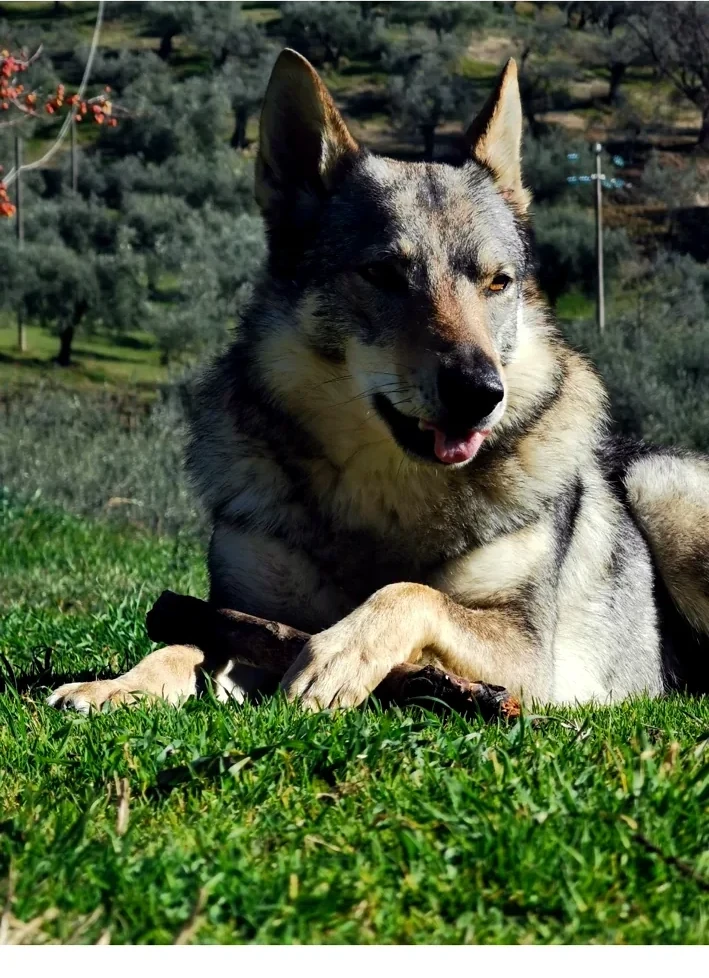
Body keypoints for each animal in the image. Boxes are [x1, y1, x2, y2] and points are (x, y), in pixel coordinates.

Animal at [48, 49, 709, 714]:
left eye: (497, 282)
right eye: (384, 274)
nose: (481, 393)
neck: (387, 497)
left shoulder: (528, 654)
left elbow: (409, 593)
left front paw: (337, 654)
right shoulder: (240, 611)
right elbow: (181, 644)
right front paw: (115, 686)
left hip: (661, 492)